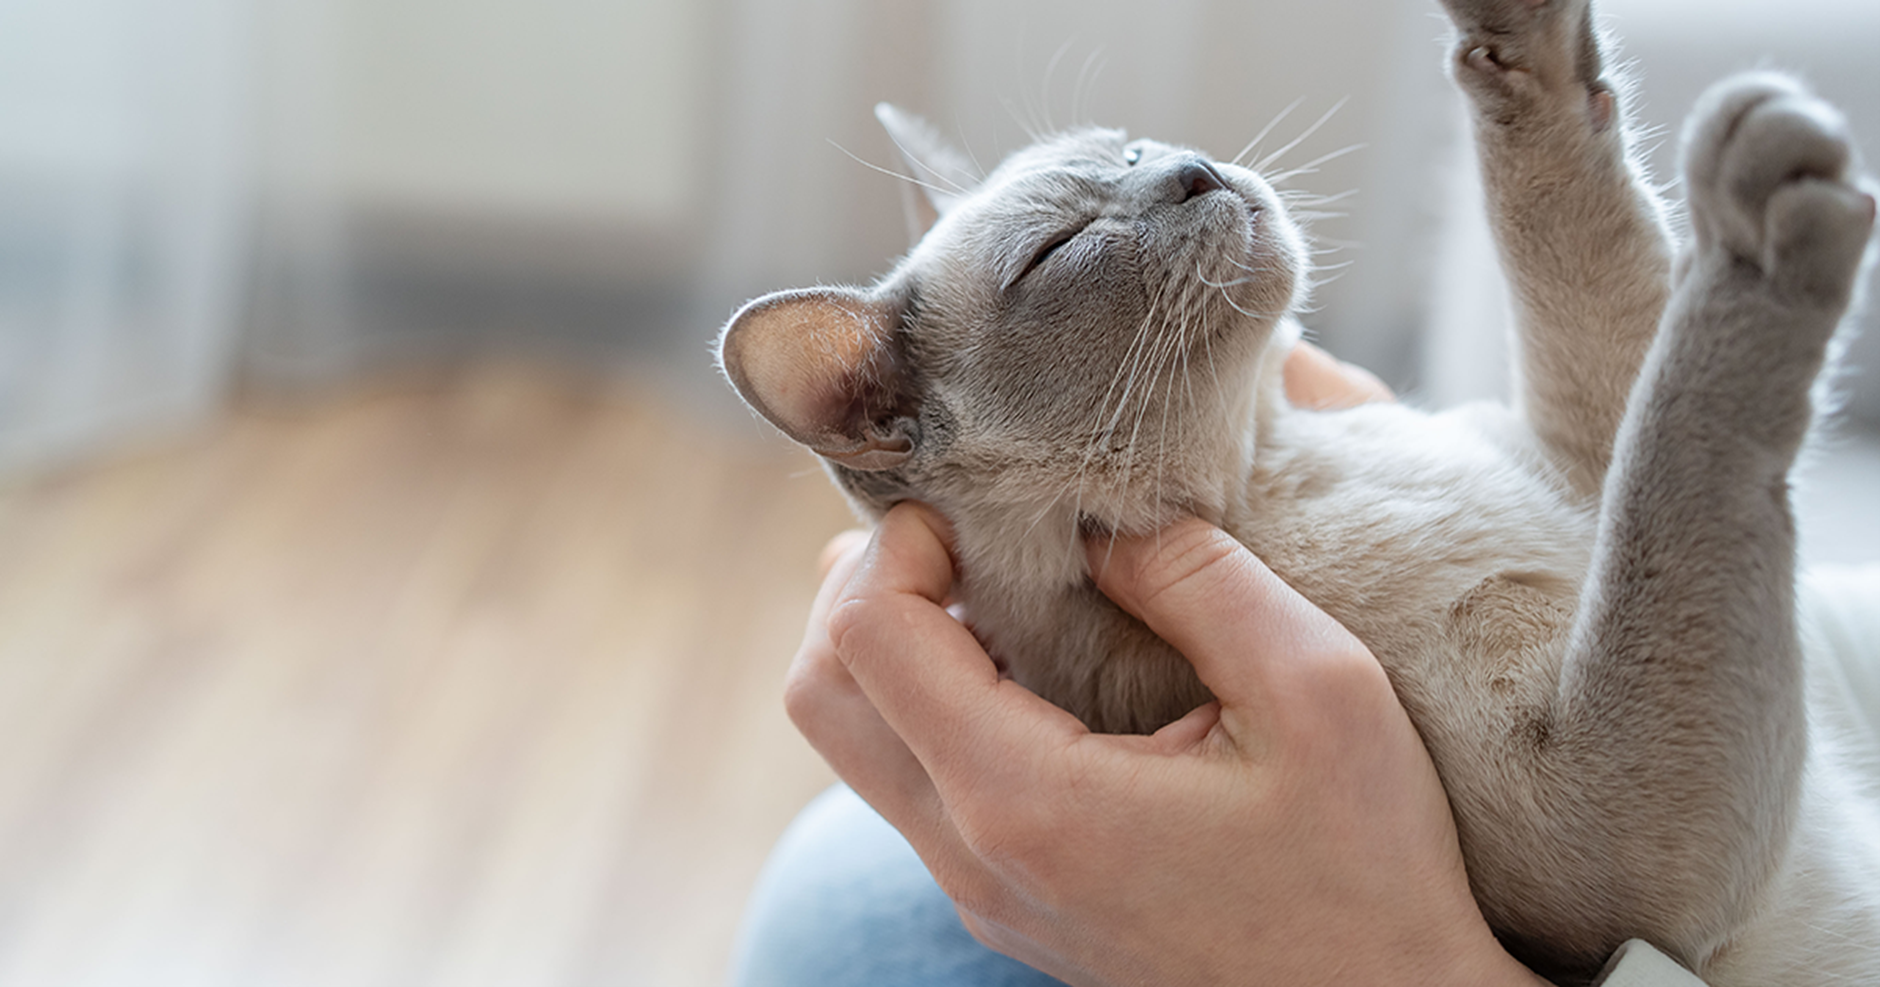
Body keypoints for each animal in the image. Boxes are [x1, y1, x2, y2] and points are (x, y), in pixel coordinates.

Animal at [714, 0, 1880, 977]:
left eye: (1133, 150)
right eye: (1062, 249)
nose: (1192, 168)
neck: (1270, 462)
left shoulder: (1585, 457)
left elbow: (1578, 248)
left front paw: (1515, 36)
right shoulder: (1615, 860)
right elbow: (1687, 425)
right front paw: (1759, 220)